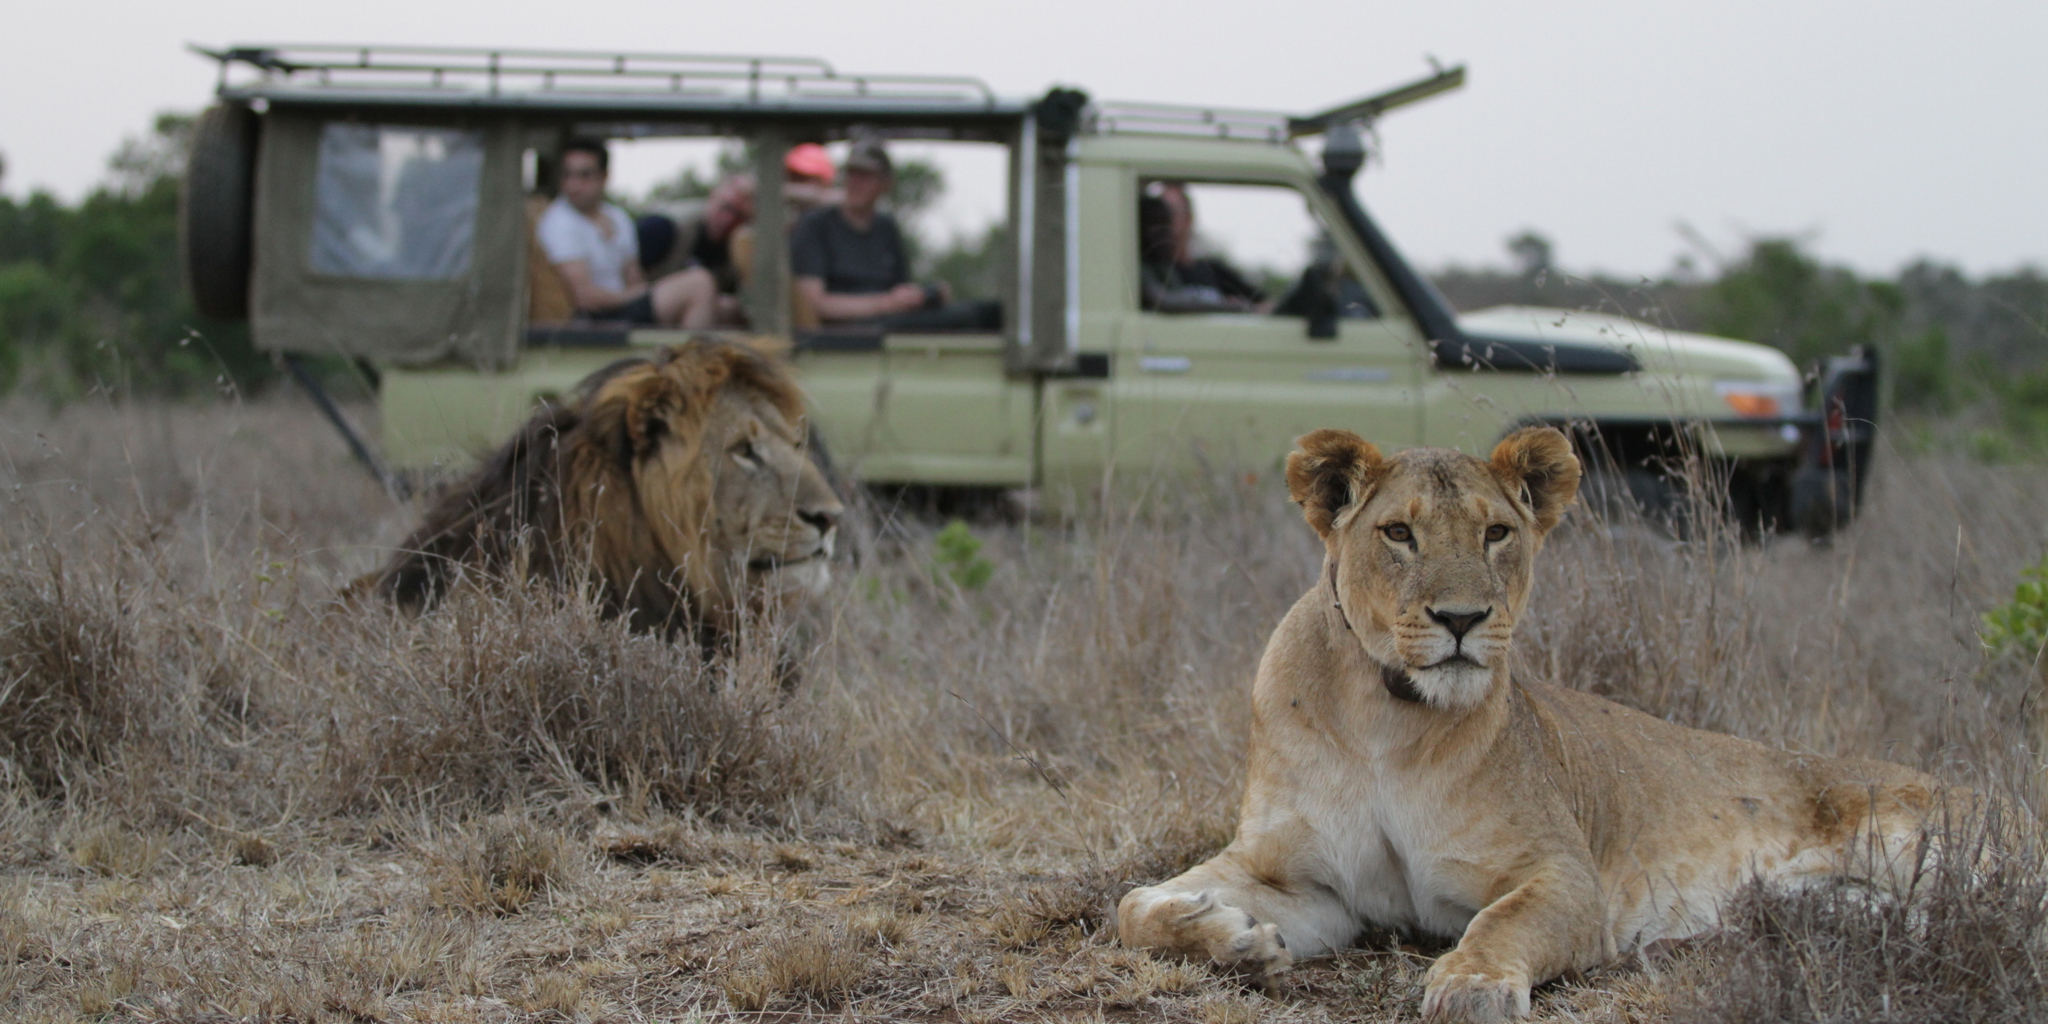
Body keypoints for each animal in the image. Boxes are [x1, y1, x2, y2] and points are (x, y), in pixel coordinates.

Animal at [1117, 427, 1969, 1022]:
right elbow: (1130, 908)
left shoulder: (1565, 873)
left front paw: (1470, 986)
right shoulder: (1306, 881)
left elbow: (1501, 922)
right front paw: (1231, 936)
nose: (1462, 619)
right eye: (1399, 533)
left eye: (1496, 533)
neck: (1385, 718)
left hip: (1919, 842)